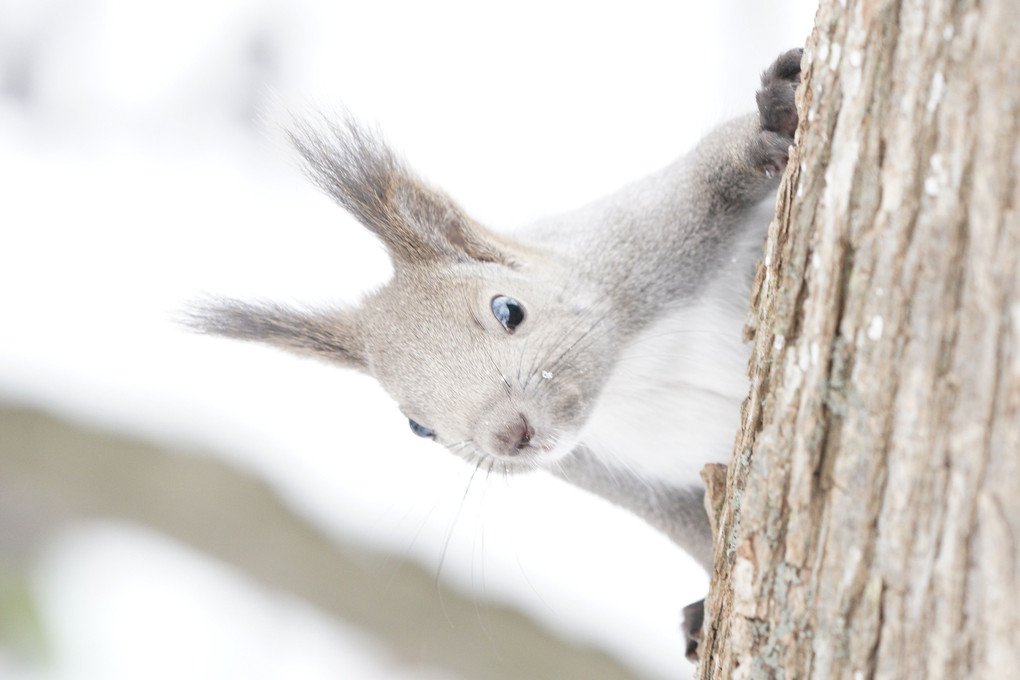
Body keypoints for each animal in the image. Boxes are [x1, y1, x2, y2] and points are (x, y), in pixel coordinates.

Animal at [187, 47, 799, 660]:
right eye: (418, 427)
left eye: (509, 310)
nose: (509, 435)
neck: (627, 381)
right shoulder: (623, 479)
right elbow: (698, 532)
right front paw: (701, 610)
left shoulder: (646, 237)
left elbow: (716, 172)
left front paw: (773, 119)